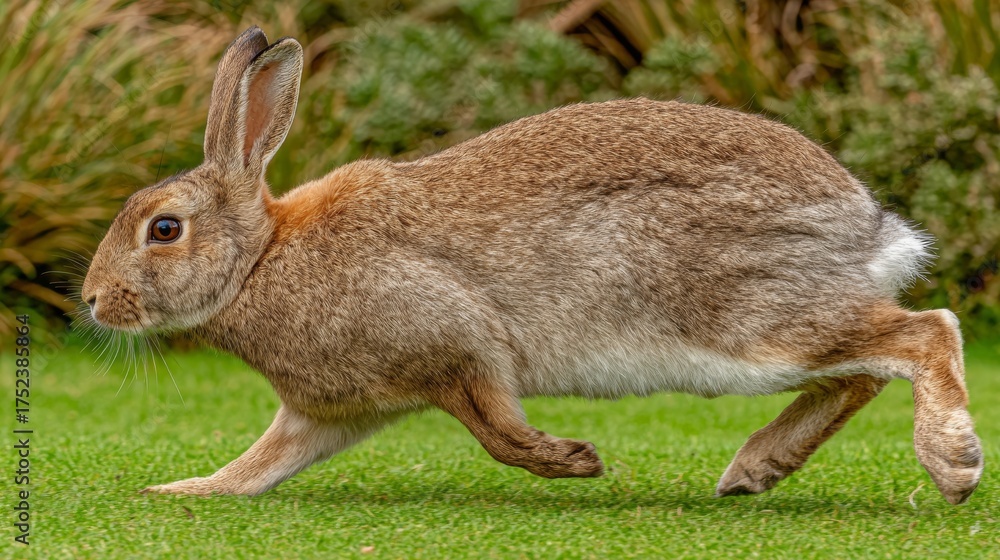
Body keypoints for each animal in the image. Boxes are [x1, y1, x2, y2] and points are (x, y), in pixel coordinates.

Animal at [82, 26, 983, 504]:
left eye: (164, 229)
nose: (94, 301)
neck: (260, 258)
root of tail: (863, 221)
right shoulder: (326, 412)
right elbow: (260, 464)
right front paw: (179, 495)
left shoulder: (455, 343)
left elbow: (495, 431)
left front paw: (573, 461)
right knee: (860, 372)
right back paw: (756, 470)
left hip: (746, 324)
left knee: (922, 333)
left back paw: (953, 463)